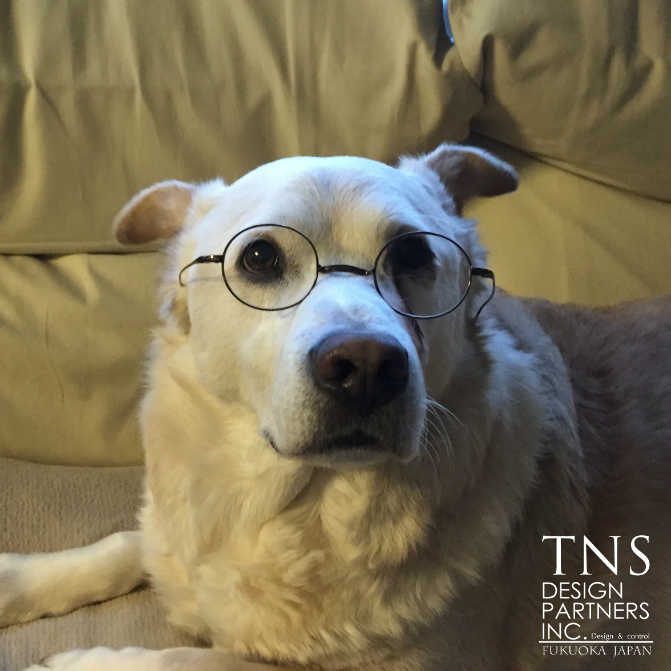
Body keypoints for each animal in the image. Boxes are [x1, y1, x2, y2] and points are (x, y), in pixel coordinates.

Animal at [2, 145, 670, 670]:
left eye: (414, 257)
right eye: (260, 258)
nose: (367, 368)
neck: (295, 505)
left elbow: (206, 659)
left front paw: (85, 662)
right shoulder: (179, 532)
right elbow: (125, 542)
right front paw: (15, 578)